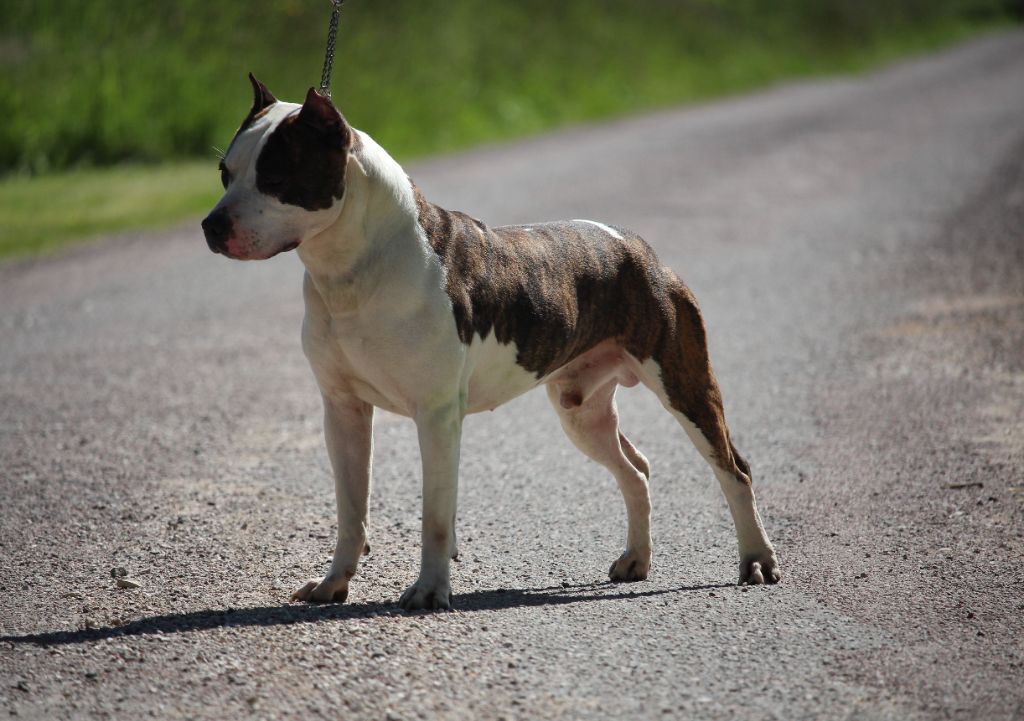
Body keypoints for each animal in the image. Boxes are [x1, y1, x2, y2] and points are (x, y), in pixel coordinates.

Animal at [201, 75, 781, 610]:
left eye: (276, 176)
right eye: (225, 173)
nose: (210, 225)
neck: (352, 267)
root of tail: (635, 245)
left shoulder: (436, 415)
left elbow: (435, 514)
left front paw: (430, 591)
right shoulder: (342, 410)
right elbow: (351, 510)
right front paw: (332, 584)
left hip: (685, 385)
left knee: (733, 468)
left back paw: (756, 560)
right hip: (581, 410)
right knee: (636, 469)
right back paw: (636, 560)